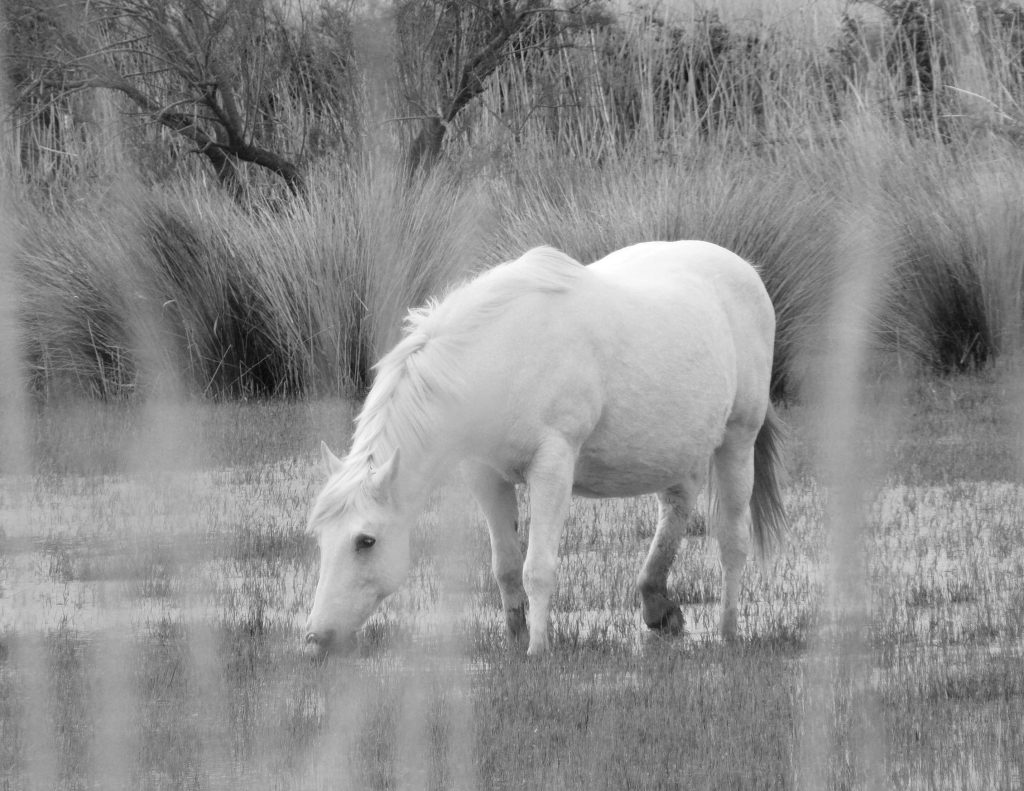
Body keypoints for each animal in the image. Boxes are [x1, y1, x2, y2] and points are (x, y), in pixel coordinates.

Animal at [303, 240, 786, 657]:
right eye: (320, 538)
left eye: (365, 541)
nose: (315, 637)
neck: (499, 356)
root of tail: (744, 269)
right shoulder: (485, 474)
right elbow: (505, 566)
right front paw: (515, 638)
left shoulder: (552, 467)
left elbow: (537, 567)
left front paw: (538, 649)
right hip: (679, 449)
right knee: (677, 506)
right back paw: (656, 605)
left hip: (738, 439)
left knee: (732, 541)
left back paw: (727, 630)